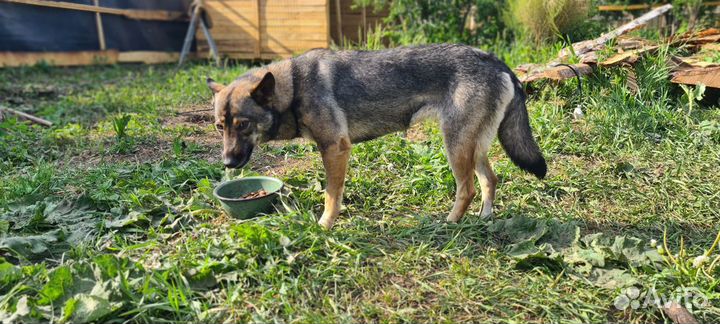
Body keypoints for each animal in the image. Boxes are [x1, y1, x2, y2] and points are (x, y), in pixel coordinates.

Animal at [207, 43, 544, 230]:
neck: (293, 88)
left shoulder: (335, 149)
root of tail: (496, 61)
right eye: (220, 127)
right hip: (474, 145)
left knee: (468, 188)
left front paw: (325, 226)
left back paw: (450, 223)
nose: (227, 163)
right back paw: (485, 218)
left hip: (456, 145)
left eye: (243, 124)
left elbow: (331, 196)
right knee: (490, 179)